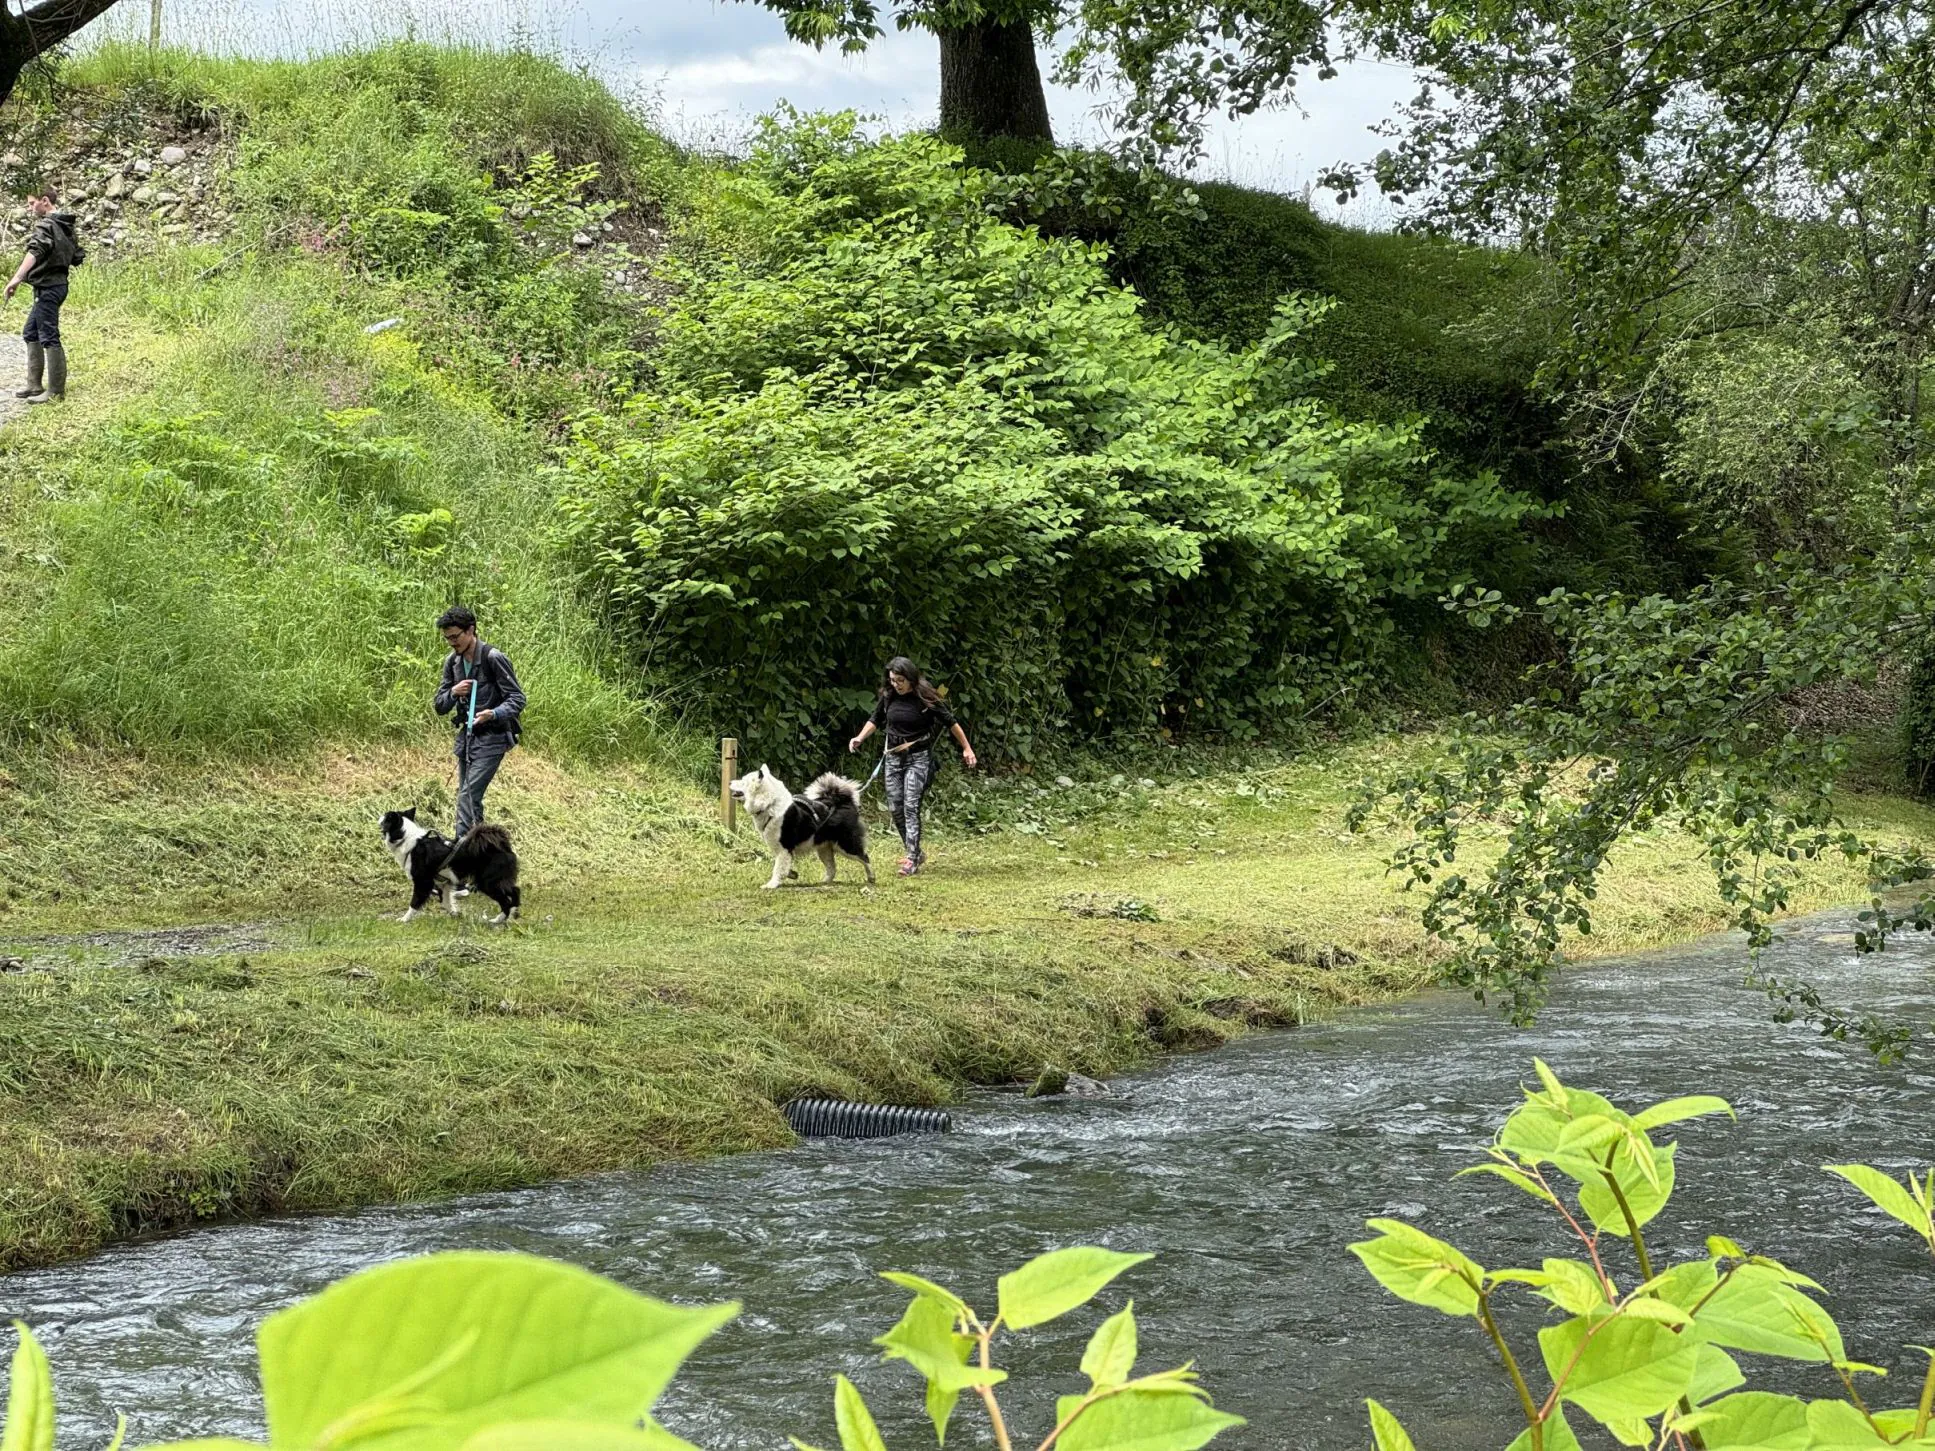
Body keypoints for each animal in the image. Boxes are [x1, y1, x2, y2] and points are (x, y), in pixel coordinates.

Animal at [377, 812, 522, 924]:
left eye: (386, 817)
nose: (379, 816)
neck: (407, 839)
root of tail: (503, 845)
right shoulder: (444, 883)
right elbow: (446, 902)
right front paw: (456, 914)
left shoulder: (423, 882)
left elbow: (414, 902)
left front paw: (404, 919)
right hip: (496, 880)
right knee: (515, 891)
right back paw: (511, 914)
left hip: (488, 882)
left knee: (507, 899)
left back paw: (499, 919)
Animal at [727, 766, 874, 893]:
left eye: (743, 781)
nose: (729, 781)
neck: (770, 804)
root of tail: (842, 802)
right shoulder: (780, 849)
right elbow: (781, 865)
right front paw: (791, 874)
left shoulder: (784, 847)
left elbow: (778, 868)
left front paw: (771, 884)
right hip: (824, 849)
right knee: (832, 867)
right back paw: (824, 882)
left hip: (846, 845)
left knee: (865, 857)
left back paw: (871, 877)